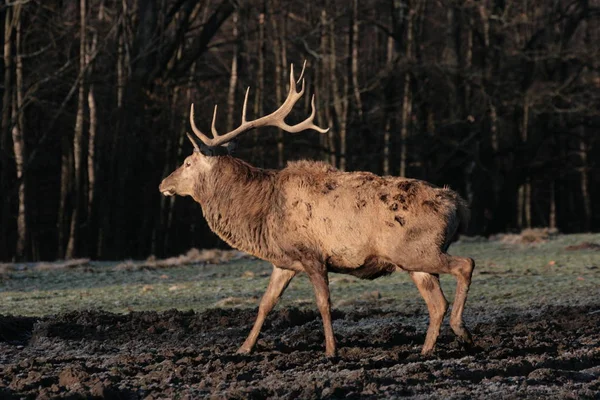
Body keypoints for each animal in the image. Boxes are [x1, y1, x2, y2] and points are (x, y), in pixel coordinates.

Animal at [158, 63, 474, 360]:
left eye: (187, 163)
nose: (163, 183)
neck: (262, 214)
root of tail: (458, 204)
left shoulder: (313, 254)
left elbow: (324, 304)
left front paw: (332, 350)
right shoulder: (285, 261)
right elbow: (265, 303)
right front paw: (244, 348)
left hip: (417, 250)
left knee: (465, 265)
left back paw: (462, 331)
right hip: (413, 261)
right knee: (437, 303)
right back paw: (427, 350)